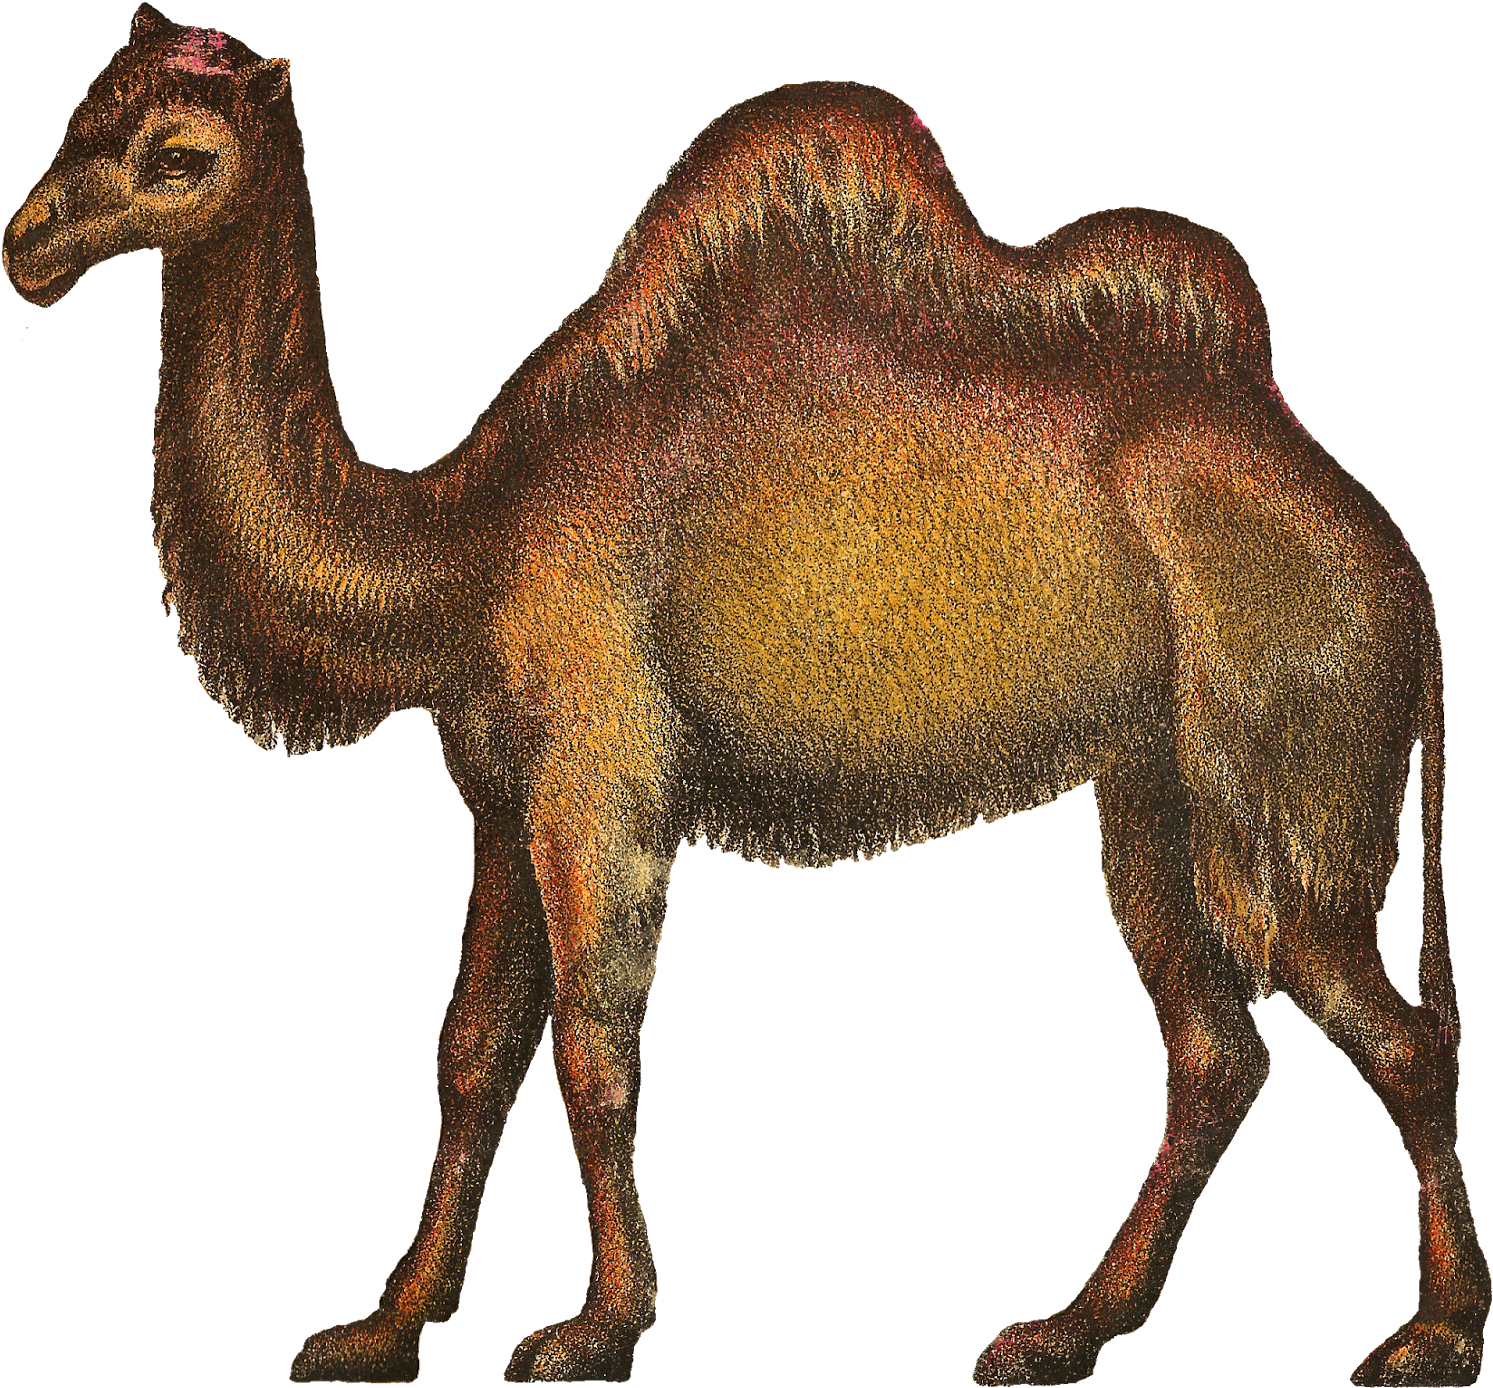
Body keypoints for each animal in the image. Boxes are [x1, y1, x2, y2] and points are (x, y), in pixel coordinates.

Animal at [6, 7, 1486, 1385]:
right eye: (82, 111)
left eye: (178, 156)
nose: (26, 243)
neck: (457, 548)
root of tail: (1394, 569)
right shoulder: (500, 795)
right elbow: (471, 1052)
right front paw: (380, 1330)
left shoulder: (601, 785)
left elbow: (594, 1051)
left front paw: (591, 1330)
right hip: (1149, 783)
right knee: (1216, 1045)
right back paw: (1059, 1332)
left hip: (1288, 756)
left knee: (1390, 1030)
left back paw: (1434, 1335)